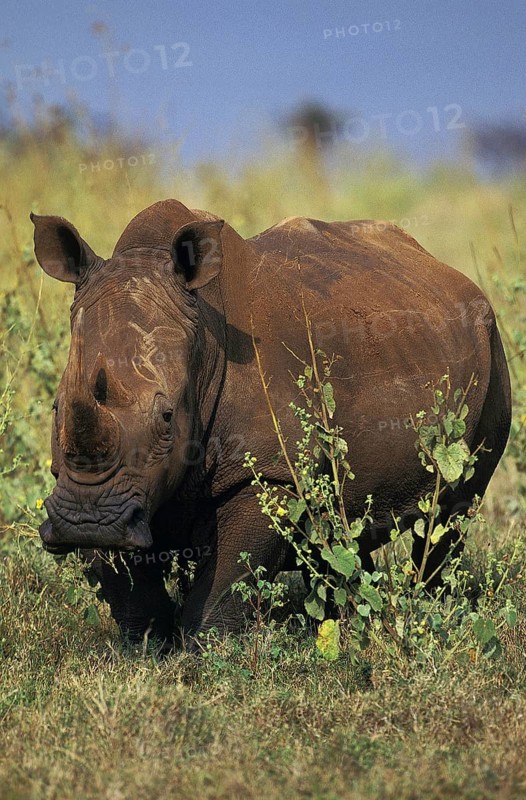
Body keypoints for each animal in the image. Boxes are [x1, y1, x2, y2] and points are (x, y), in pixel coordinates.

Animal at [31, 199, 511, 645]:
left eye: (167, 418)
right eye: (56, 409)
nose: (86, 522)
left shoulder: (268, 470)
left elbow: (226, 584)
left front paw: (204, 654)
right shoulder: (104, 482)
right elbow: (128, 581)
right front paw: (144, 649)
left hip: (490, 351)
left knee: (450, 513)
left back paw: (427, 607)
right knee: (341, 530)